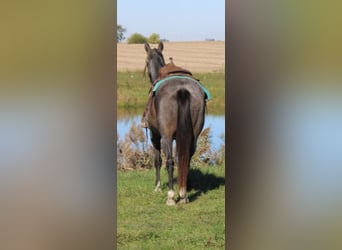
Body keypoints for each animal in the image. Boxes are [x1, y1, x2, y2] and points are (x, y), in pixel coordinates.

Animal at [144, 41, 208, 205]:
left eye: (146, 62)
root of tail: (182, 88)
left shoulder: (155, 136)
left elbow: (158, 160)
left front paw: (157, 186)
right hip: (193, 135)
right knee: (187, 159)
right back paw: (184, 193)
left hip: (165, 137)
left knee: (170, 161)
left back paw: (171, 195)